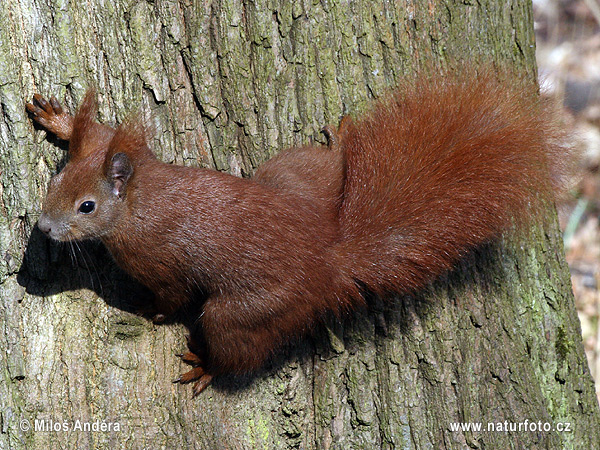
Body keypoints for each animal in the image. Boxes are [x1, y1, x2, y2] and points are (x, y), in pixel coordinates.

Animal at [24, 72, 568, 396]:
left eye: (87, 206)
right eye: (53, 180)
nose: (45, 227)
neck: (141, 197)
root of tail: (324, 258)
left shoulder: (157, 259)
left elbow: (170, 297)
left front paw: (149, 313)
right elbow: (96, 134)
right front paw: (60, 119)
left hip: (248, 311)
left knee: (239, 349)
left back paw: (208, 366)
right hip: (291, 175)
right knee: (325, 166)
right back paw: (344, 140)